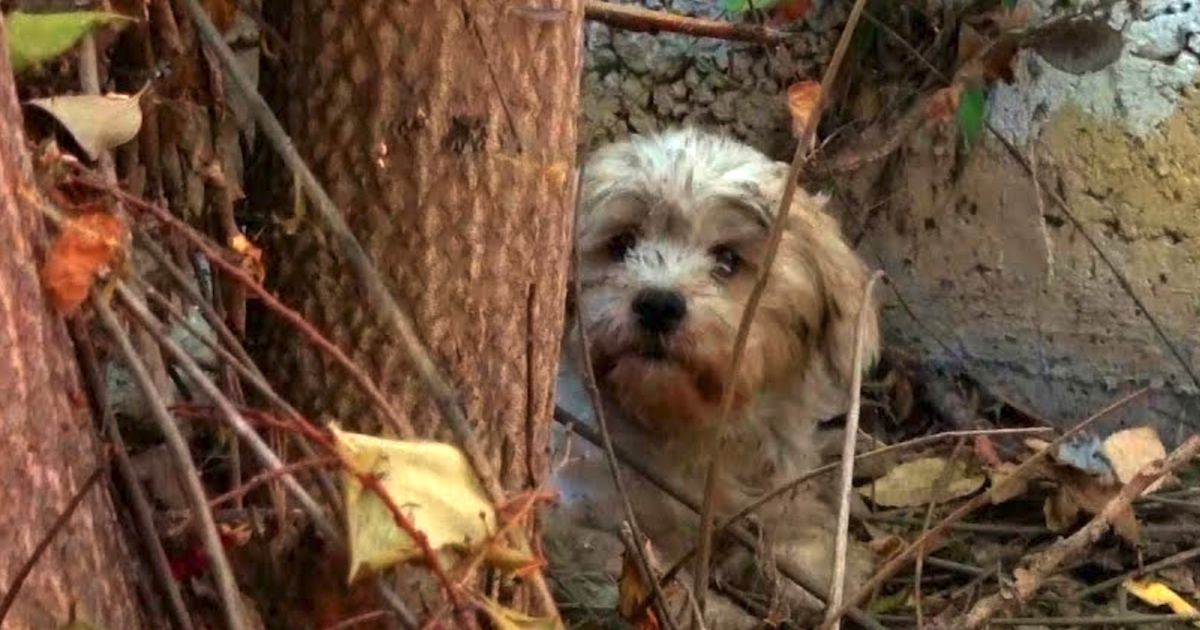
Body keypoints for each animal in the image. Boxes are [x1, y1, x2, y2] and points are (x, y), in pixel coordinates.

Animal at [544, 125, 883, 624]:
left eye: (727, 259)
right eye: (621, 245)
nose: (658, 304)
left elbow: (787, 519)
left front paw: (819, 567)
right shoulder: (581, 519)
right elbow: (655, 583)